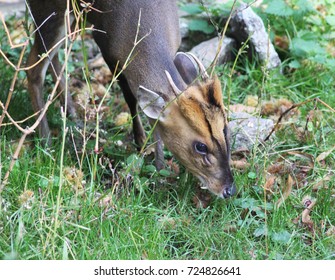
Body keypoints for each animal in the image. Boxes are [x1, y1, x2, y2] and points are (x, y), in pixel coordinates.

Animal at [26, 0, 236, 199]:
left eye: (226, 131)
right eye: (200, 146)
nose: (229, 190)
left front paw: (153, 158)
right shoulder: (109, 51)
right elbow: (132, 99)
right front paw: (148, 152)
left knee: (54, 58)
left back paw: (71, 113)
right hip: (48, 11)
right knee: (34, 65)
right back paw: (46, 142)